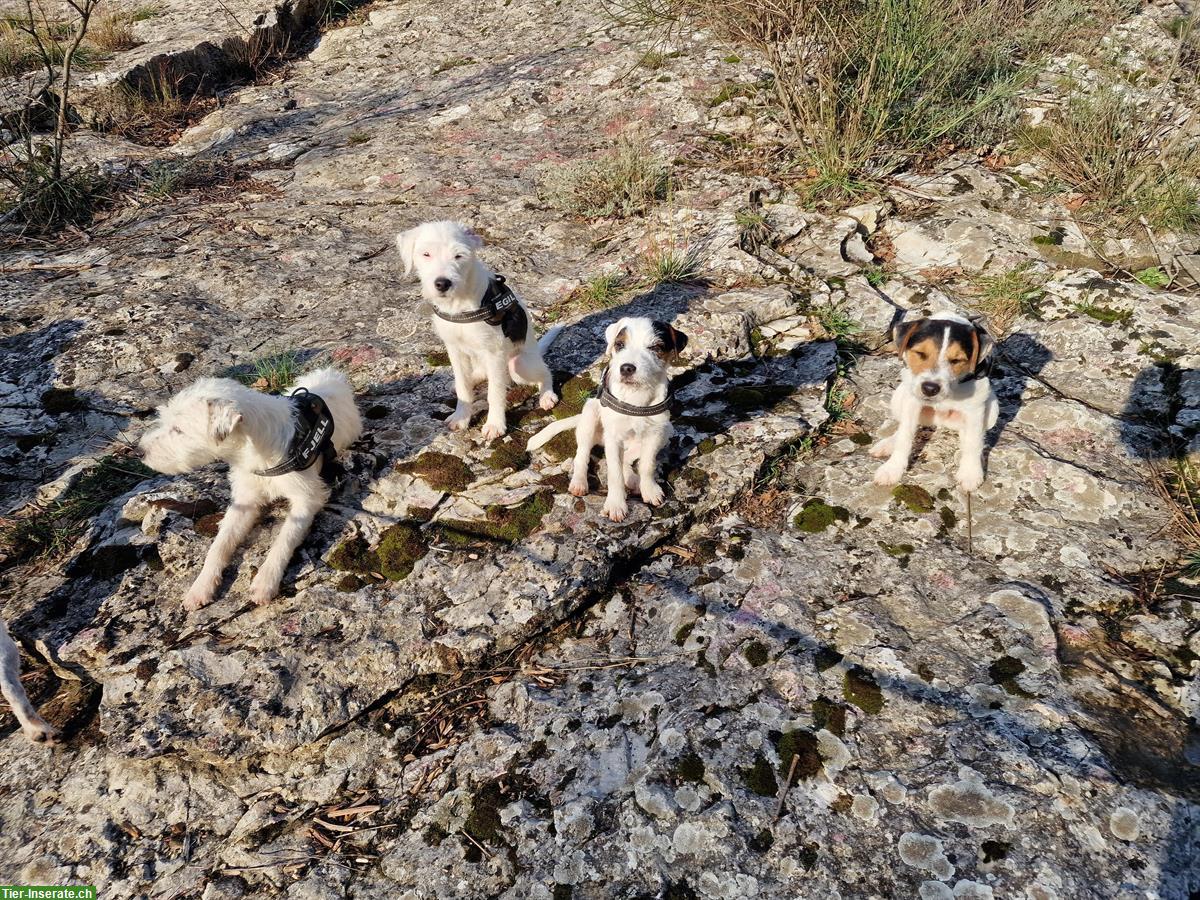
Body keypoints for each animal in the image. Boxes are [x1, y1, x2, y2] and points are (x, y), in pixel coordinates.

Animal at [139, 367, 360, 614]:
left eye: (179, 429)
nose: (140, 451)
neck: (255, 452)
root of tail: (330, 375)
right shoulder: (244, 501)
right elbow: (219, 544)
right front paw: (201, 586)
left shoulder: (307, 498)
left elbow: (285, 538)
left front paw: (265, 581)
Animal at [396, 222, 559, 441]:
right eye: (426, 254)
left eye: (459, 256)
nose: (442, 283)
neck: (459, 305)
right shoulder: (455, 350)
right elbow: (463, 388)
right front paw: (461, 417)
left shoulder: (494, 352)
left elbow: (495, 393)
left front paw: (495, 424)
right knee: (477, 376)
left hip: (519, 363)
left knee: (544, 373)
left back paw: (547, 395)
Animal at [525, 321, 686, 525]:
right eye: (619, 345)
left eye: (655, 347)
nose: (626, 368)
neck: (636, 398)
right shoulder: (614, 438)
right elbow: (614, 473)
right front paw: (616, 504)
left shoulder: (655, 433)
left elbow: (647, 465)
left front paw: (649, 489)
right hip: (590, 417)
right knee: (582, 456)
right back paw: (579, 482)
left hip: (667, 431)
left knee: (627, 460)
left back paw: (634, 481)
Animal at [873, 312, 1003, 494]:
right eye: (920, 353)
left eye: (956, 360)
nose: (930, 388)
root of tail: (941, 421)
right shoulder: (912, 402)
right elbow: (905, 436)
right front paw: (892, 469)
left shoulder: (975, 408)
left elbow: (973, 442)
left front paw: (970, 473)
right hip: (899, 397)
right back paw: (887, 444)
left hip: (992, 409)